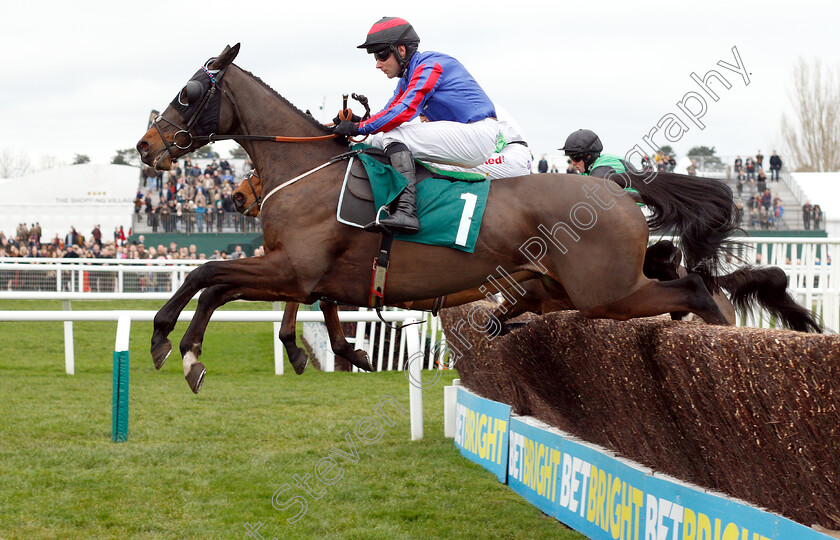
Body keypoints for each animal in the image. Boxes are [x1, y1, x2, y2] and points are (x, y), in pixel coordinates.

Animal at [138, 44, 748, 392]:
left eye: (189, 92)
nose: (146, 147)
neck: (308, 172)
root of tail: (614, 187)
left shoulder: (296, 269)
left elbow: (207, 274)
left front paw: (170, 339)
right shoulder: (304, 273)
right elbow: (218, 285)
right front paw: (191, 349)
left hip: (605, 291)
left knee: (695, 288)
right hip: (574, 288)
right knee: (681, 281)